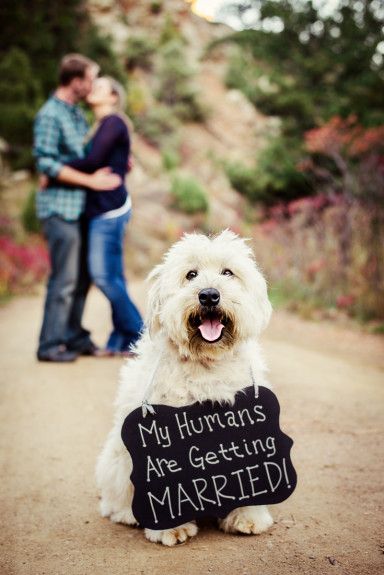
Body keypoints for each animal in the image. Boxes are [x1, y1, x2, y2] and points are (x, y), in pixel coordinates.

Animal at [97, 228, 276, 544]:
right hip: (117, 462)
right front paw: (171, 527)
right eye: (191, 274)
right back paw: (129, 514)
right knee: (115, 500)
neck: (205, 363)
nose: (209, 295)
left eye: (228, 272)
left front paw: (247, 516)